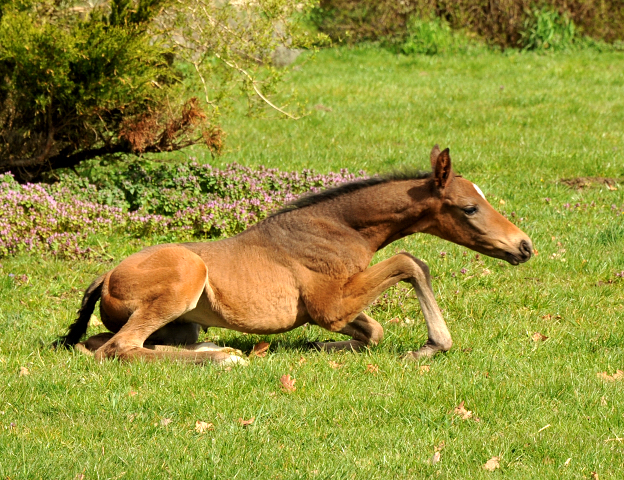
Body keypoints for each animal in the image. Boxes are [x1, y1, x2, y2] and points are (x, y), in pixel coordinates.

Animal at [58, 146, 532, 364]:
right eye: (469, 208)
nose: (524, 246)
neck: (340, 227)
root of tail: (105, 276)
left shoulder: (336, 306)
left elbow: (374, 330)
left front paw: (324, 346)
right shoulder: (330, 304)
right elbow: (411, 262)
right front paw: (432, 345)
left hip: (180, 324)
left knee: (98, 344)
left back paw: (211, 347)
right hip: (185, 277)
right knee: (119, 348)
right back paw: (222, 357)